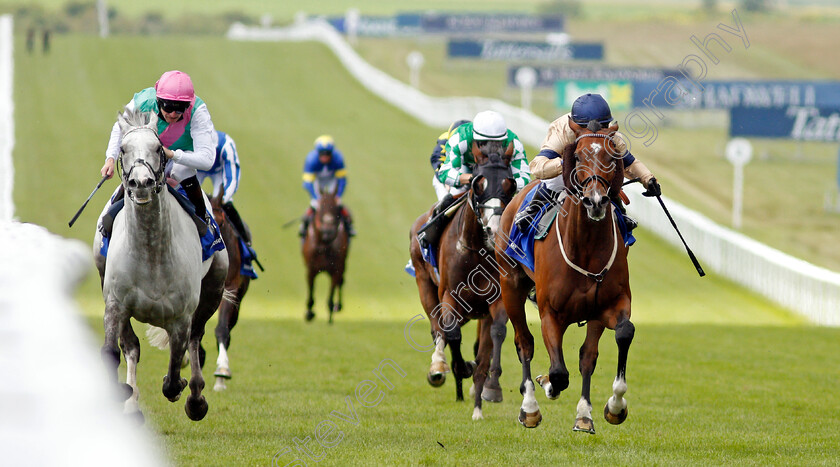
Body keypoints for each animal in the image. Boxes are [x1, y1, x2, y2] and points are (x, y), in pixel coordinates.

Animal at [94, 108, 230, 422]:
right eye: (123, 149)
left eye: (158, 148)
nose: (141, 183)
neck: (150, 252)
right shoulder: (116, 304)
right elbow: (115, 351)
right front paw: (123, 395)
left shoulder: (180, 316)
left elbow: (174, 372)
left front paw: (184, 390)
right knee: (133, 347)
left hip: (214, 288)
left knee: (196, 340)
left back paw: (196, 398)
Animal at [302, 188, 348, 324]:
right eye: (320, 207)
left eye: (337, 207)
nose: (328, 231)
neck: (324, 245)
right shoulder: (311, 270)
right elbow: (311, 291)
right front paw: (309, 313)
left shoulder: (336, 269)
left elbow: (331, 294)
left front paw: (331, 314)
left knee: (340, 283)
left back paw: (338, 306)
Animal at [408, 142, 520, 420]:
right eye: (478, 183)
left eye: (509, 184)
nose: (494, 230)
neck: (477, 251)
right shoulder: (450, 294)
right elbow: (452, 333)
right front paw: (461, 368)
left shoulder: (496, 299)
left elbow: (496, 334)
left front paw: (488, 392)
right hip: (425, 285)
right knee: (438, 329)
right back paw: (439, 368)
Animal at [498, 119, 632, 434]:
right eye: (579, 156)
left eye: (612, 156)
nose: (596, 201)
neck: (585, 248)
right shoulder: (551, 311)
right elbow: (559, 371)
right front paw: (547, 385)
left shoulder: (608, 305)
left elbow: (615, 338)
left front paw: (610, 408)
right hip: (510, 285)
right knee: (524, 342)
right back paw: (530, 407)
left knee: (585, 356)